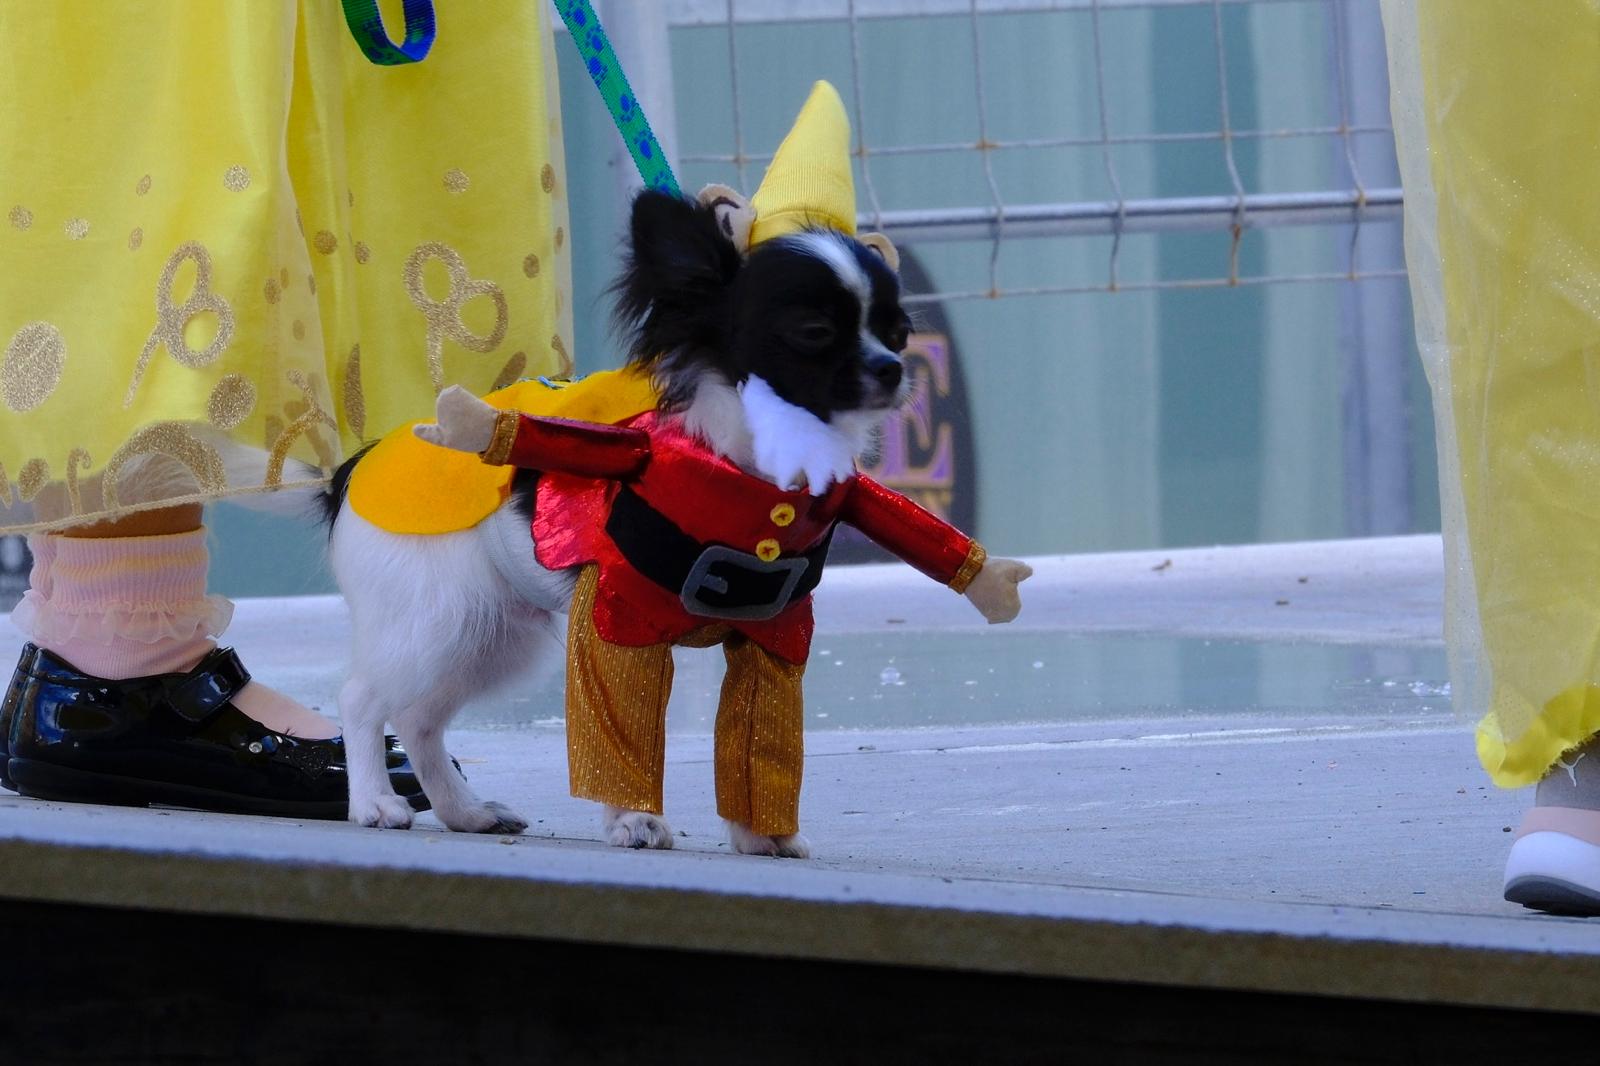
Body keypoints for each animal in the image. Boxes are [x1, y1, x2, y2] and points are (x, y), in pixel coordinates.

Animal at [323, 188, 1030, 857]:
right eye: (813, 330)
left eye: (899, 331)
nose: (892, 368)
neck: (757, 469)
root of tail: (352, 470)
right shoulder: (614, 625)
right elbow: (620, 731)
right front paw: (634, 819)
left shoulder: (775, 641)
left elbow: (762, 741)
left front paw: (762, 834)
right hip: (433, 619)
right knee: (362, 698)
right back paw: (375, 803)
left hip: (488, 636)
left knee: (419, 719)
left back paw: (464, 813)